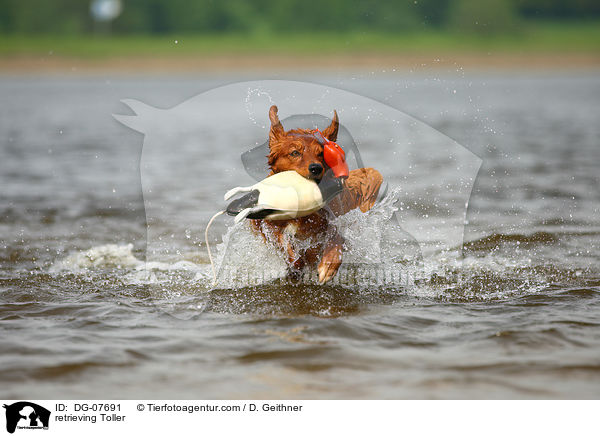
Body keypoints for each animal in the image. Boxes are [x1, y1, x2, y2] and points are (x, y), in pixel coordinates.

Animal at [251, 105, 382, 282]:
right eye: (295, 152)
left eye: (321, 153)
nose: (316, 168)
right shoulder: (270, 226)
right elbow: (286, 246)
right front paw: (296, 263)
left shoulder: (332, 221)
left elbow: (335, 239)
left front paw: (328, 265)